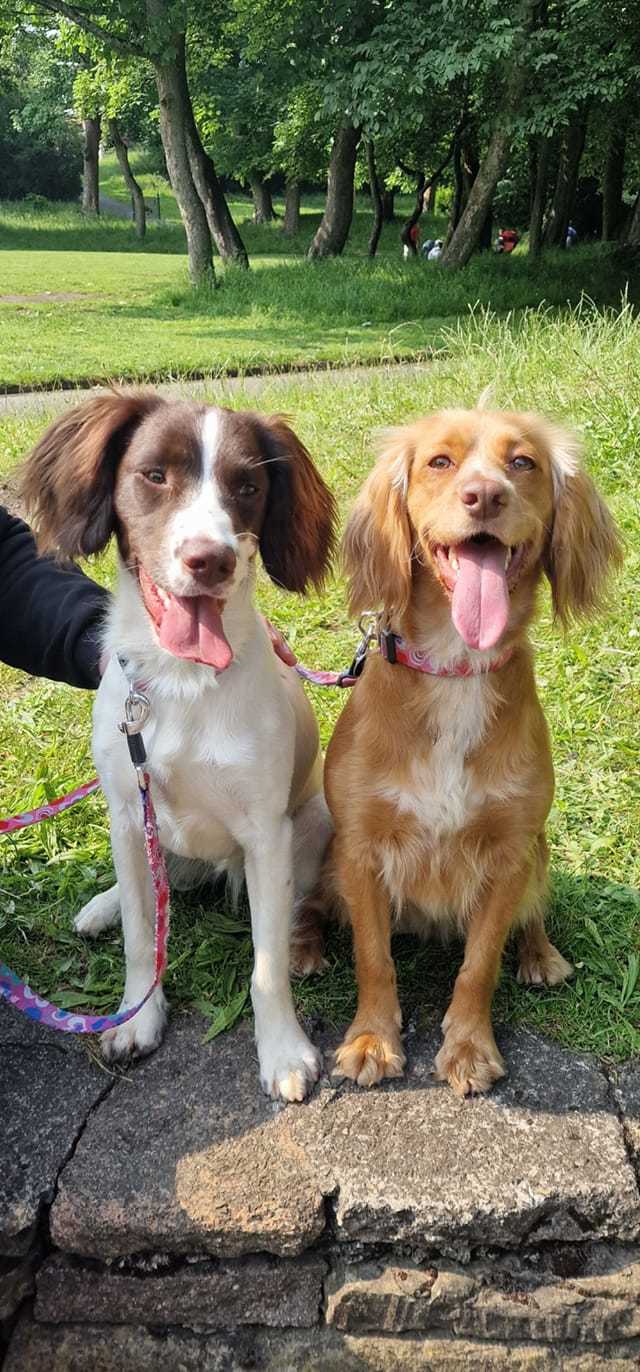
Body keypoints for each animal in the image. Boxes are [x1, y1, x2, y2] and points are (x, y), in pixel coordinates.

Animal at [21, 389, 335, 1103]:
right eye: (154, 475)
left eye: (248, 486)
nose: (209, 560)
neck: (181, 680)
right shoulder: (127, 811)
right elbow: (143, 938)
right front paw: (137, 1016)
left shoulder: (265, 834)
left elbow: (266, 965)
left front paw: (283, 1050)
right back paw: (102, 906)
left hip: (312, 823)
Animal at [317, 403, 623, 1092]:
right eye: (440, 461)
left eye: (523, 462)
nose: (484, 495)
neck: (458, 666)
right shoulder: (359, 848)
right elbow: (373, 957)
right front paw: (372, 1040)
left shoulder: (509, 853)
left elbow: (480, 963)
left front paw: (468, 1046)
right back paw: (303, 947)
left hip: (538, 851)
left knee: (532, 915)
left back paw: (541, 956)